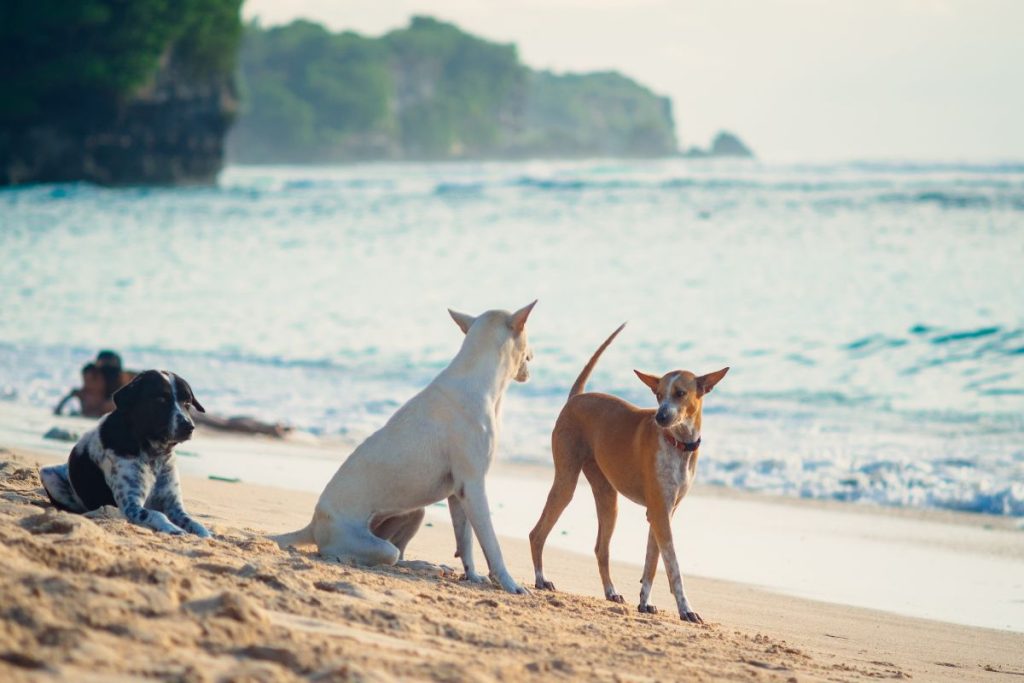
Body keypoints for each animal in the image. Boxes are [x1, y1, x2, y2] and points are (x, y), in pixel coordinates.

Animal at [40, 370, 212, 536]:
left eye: (187, 403)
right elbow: (157, 514)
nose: (189, 426)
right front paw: (172, 528)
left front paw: (205, 533)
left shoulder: (173, 505)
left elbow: (194, 522)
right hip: (47, 474)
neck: (156, 455)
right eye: (161, 399)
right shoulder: (131, 506)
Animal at [276, 301, 540, 593]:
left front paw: (472, 575)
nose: (534, 356)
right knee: (383, 555)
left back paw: (422, 565)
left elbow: (466, 541)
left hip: (415, 512)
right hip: (372, 543)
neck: (479, 378)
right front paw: (510, 584)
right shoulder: (473, 486)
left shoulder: (458, 493)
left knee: (400, 554)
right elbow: (491, 544)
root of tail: (314, 523)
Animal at [528, 325, 729, 626]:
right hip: (566, 483)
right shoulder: (659, 513)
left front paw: (645, 602)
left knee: (601, 548)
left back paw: (611, 591)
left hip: (608, 499)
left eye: (680, 393)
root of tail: (576, 398)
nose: (660, 417)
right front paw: (685, 608)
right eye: (658, 395)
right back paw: (541, 579)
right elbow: (673, 567)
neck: (677, 443)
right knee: (537, 533)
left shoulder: (662, 513)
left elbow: (652, 563)